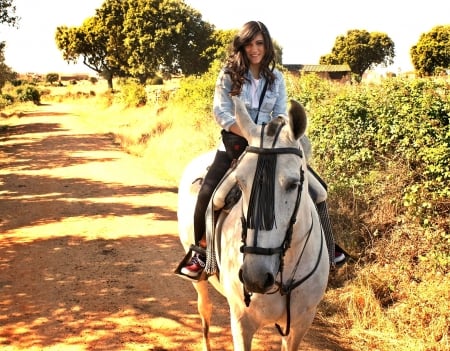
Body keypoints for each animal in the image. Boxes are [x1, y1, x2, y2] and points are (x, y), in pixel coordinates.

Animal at [178, 97, 328, 351]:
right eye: (240, 183)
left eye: (294, 184)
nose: (254, 278)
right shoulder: (241, 321)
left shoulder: (300, 323)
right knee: (204, 309)